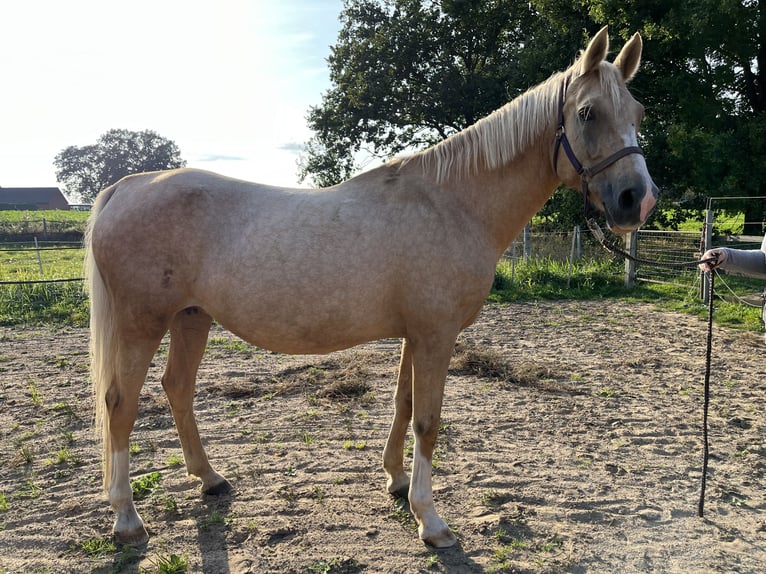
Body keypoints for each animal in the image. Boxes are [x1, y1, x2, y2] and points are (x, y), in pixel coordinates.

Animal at [85, 27, 660, 548]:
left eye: (637, 113)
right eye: (587, 113)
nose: (638, 199)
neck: (452, 202)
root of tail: (125, 188)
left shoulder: (416, 334)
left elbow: (403, 406)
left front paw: (398, 482)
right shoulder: (436, 335)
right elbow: (428, 419)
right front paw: (432, 521)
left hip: (192, 317)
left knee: (176, 389)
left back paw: (209, 480)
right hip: (142, 325)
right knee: (121, 405)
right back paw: (127, 519)